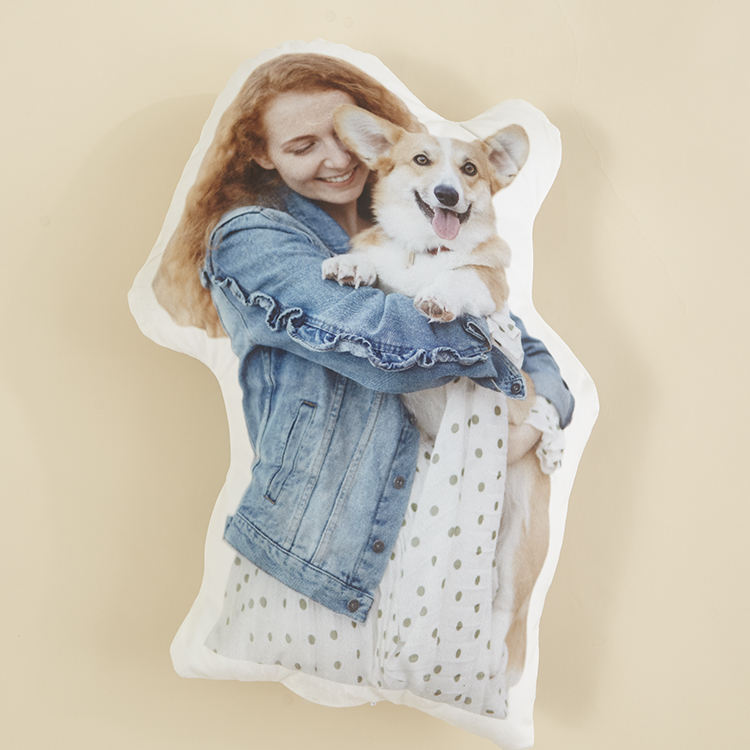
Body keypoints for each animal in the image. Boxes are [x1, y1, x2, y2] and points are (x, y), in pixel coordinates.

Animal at [322, 104, 551, 685]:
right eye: (421, 160)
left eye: (470, 169)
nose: (447, 195)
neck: (426, 252)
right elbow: (377, 268)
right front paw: (351, 266)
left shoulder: (489, 281)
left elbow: (465, 276)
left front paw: (441, 297)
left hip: (521, 542)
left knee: (505, 613)